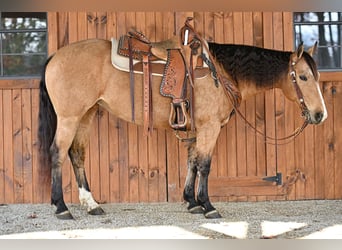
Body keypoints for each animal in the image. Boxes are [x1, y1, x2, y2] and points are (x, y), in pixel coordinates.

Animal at [37, 19, 326, 219]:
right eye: (303, 77)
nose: (320, 114)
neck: (221, 72)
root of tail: (55, 56)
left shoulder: (198, 129)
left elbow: (192, 162)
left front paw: (191, 202)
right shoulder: (210, 128)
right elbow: (205, 165)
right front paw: (207, 205)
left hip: (86, 115)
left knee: (77, 154)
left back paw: (91, 204)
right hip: (69, 118)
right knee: (58, 153)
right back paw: (61, 207)